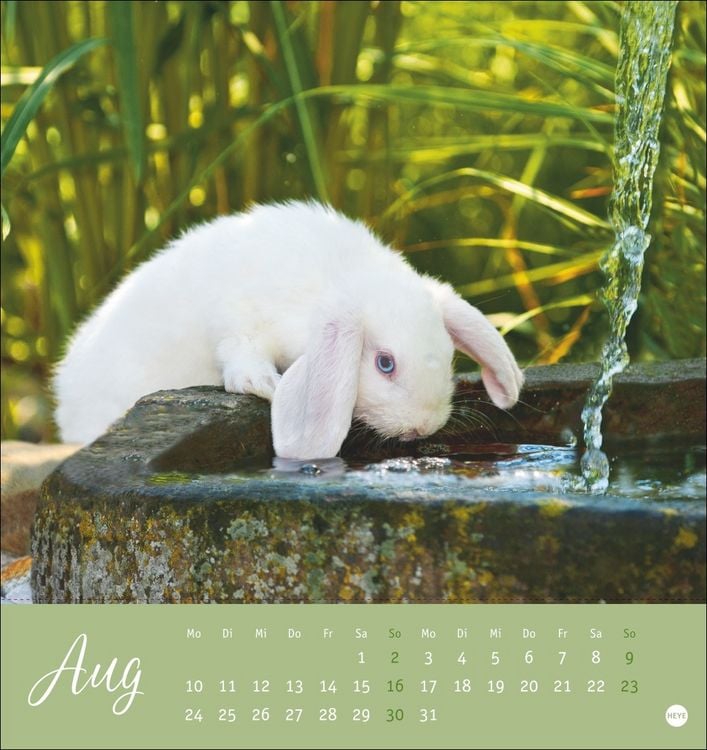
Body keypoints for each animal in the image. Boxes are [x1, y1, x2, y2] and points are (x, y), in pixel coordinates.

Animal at [54, 201, 524, 459]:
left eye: (447, 357)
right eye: (385, 364)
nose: (423, 428)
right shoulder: (238, 319)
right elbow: (238, 352)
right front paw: (264, 384)